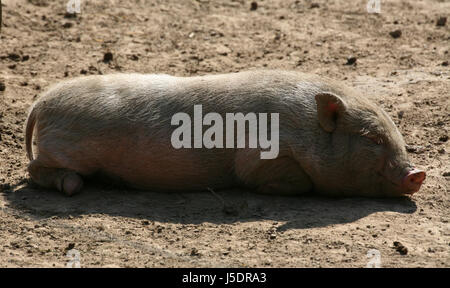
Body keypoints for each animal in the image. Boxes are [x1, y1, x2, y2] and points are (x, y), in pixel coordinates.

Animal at [24, 70, 426, 198]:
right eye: (371, 139)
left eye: (394, 133)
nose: (418, 173)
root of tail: (41, 101)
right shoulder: (258, 157)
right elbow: (290, 181)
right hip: (63, 151)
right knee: (34, 171)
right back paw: (72, 187)